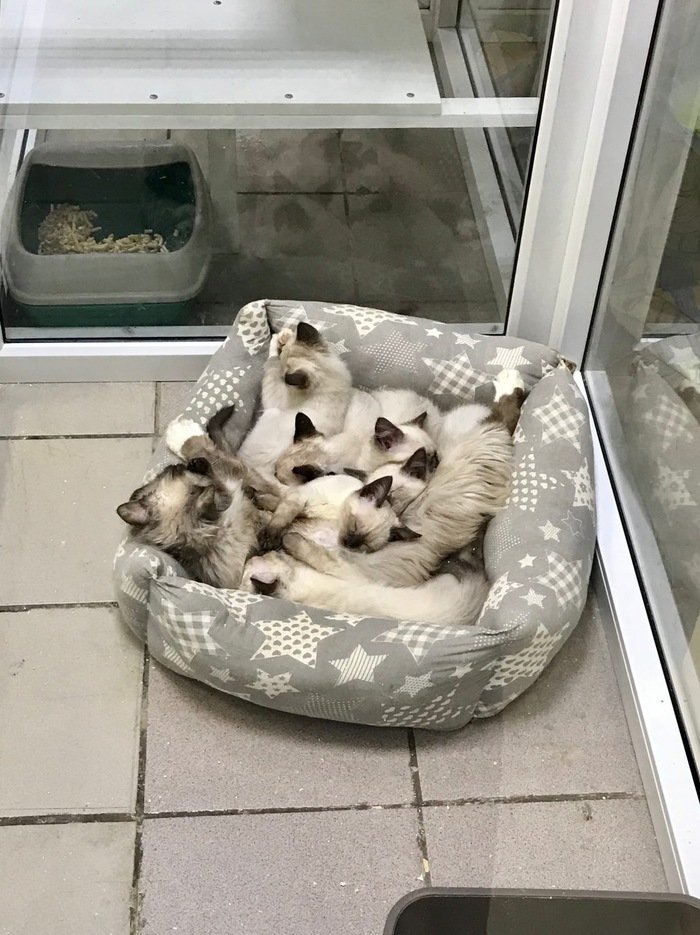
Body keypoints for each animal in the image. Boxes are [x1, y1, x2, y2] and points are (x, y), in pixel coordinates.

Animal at [242, 532, 488, 627]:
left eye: (258, 557)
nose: (253, 554)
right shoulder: (347, 571)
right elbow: (319, 552)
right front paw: (290, 539)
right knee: (467, 561)